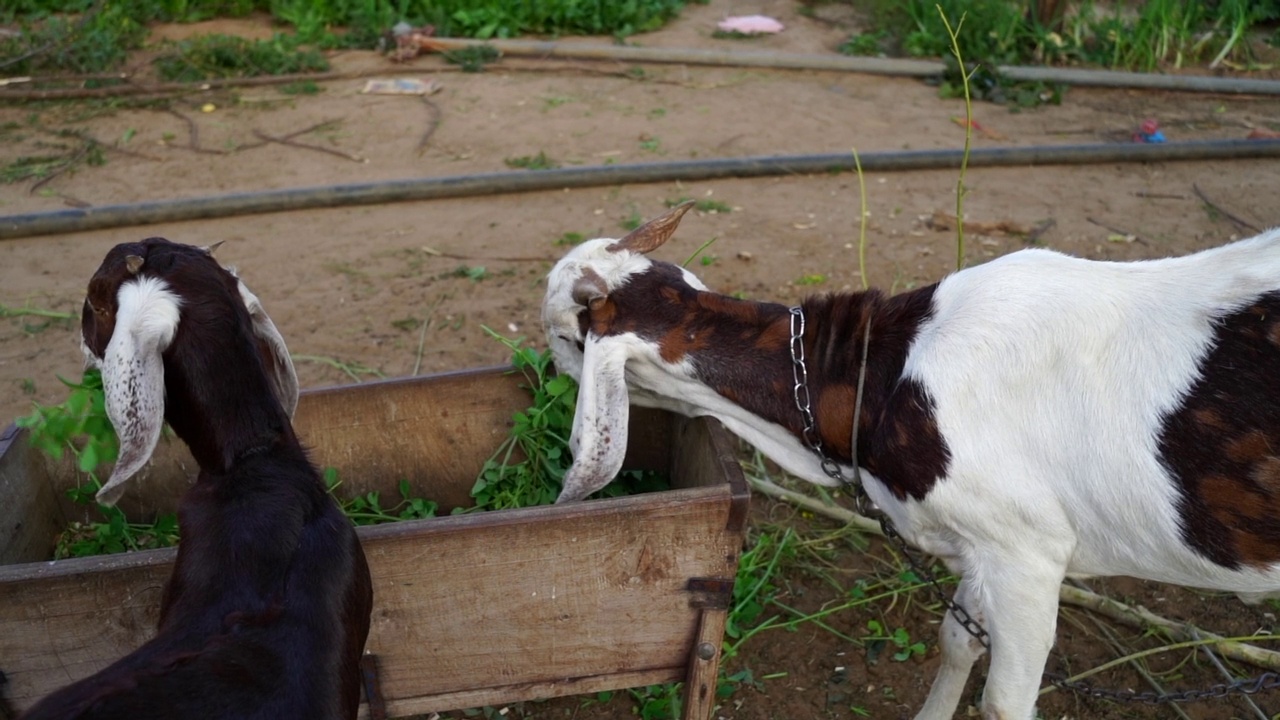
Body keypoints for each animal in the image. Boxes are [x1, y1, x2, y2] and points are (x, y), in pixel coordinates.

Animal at [542, 202, 1280, 717]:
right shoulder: (986, 540)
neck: (884, 378)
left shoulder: (1031, 552)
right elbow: (958, 639)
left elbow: (1004, 702)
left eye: (561, 336)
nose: (545, 376)